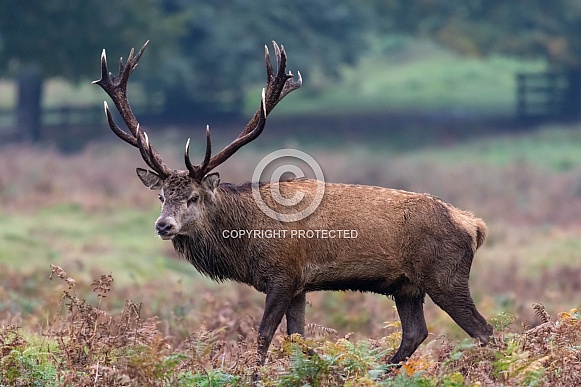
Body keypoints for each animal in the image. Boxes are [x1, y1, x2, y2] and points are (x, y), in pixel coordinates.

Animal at [93, 41, 492, 374]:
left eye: (193, 197)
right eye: (161, 196)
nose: (164, 225)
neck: (245, 244)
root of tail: (474, 226)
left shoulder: (283, 274)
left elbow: (263, 335)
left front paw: (254, 376)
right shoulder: (300, 284)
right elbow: (297, 338)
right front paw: (324, 367)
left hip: (445, 275)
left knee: (484, 329)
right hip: (406, 286)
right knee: (416, 332)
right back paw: (378, 371)